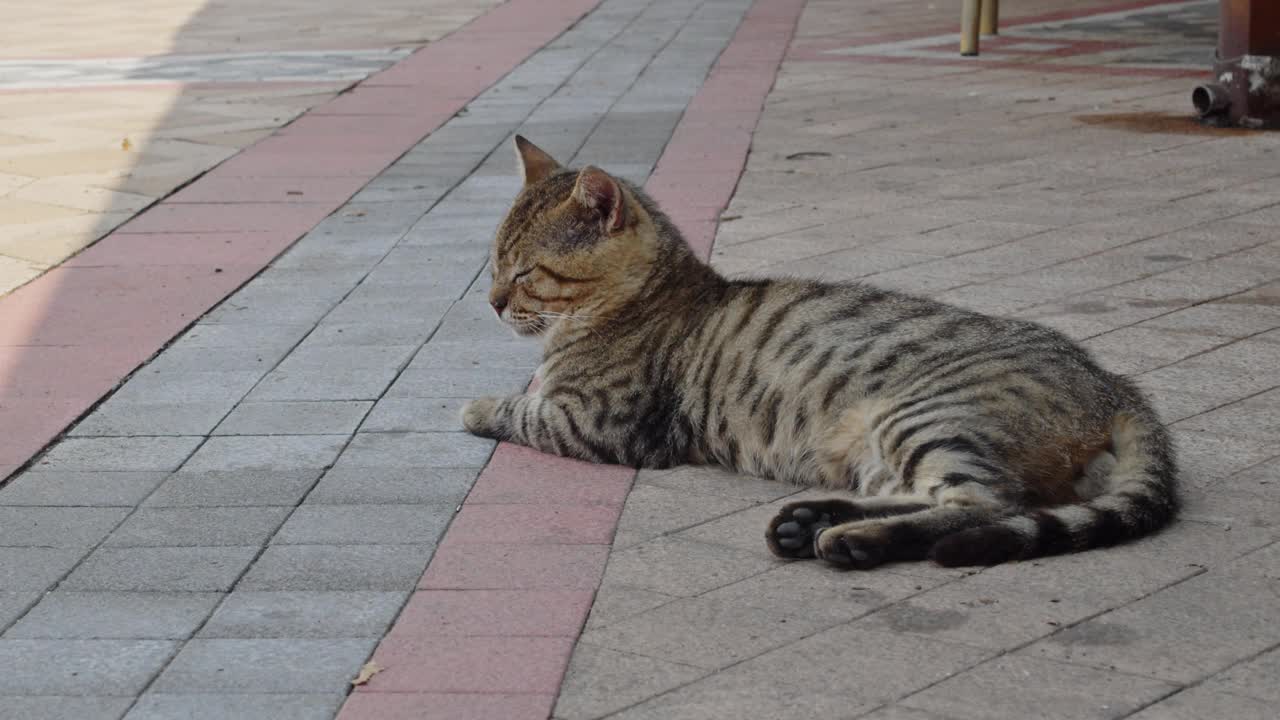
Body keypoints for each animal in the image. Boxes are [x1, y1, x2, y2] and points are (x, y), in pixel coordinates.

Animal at [460, 135, 1177, 566]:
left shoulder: (602, 422)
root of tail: (1111, 380)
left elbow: (522, 410)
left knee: (987, 505)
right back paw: (809, 522)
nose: (489, 302)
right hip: (879, 451)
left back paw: (850, 539)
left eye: (524, 273)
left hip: (922, 420)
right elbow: (529, 398)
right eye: (491, 261)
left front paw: (477, 406)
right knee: (935, 497)